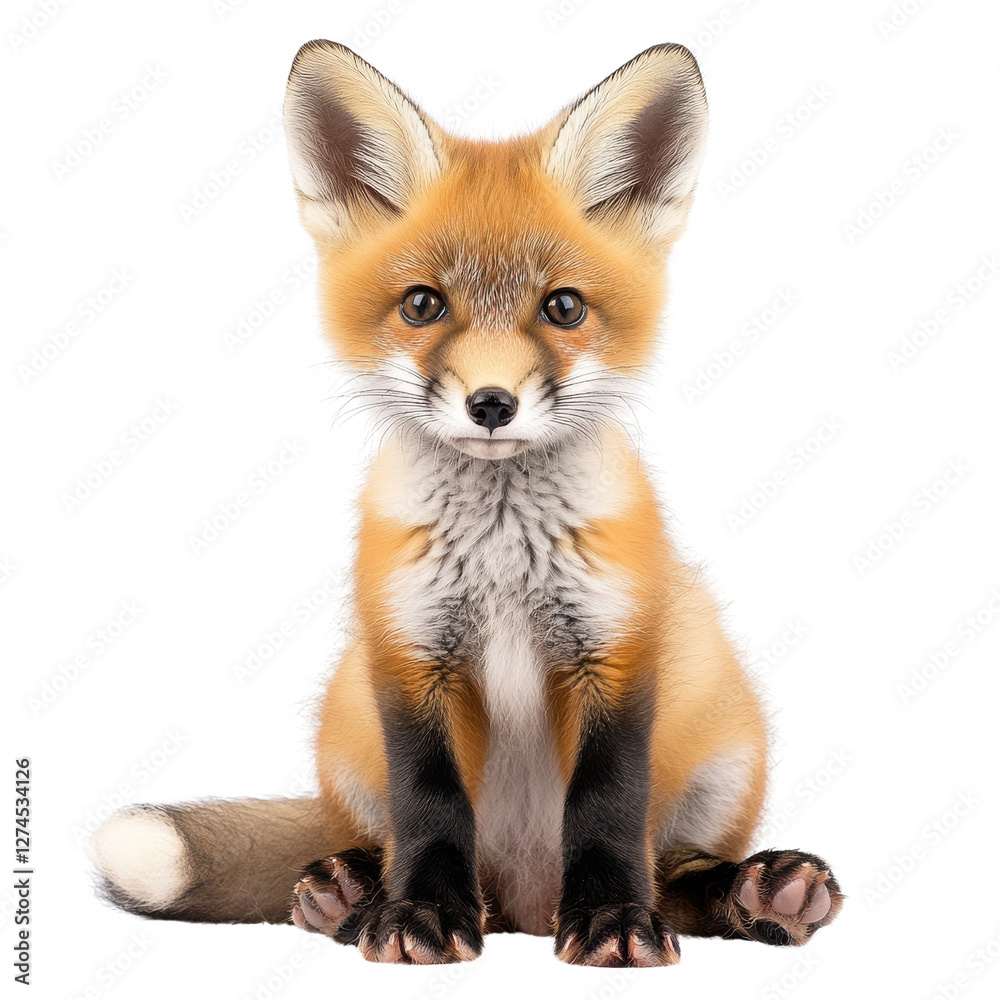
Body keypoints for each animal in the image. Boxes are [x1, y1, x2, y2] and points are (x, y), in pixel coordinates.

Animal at [90, 40, 843, 967]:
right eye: (423, 304)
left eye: (563, 307)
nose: (491, 404)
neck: (503, 558)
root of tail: (524, 900)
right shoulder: (409, 654)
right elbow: (429, 806)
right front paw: (420, 916)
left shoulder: (618, 650)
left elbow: (608, 809)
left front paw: (612, 921)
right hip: (345, 726)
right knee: (376, 841)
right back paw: (351, 894)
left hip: (724, 736)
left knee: (678, 874)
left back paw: (757, 891)